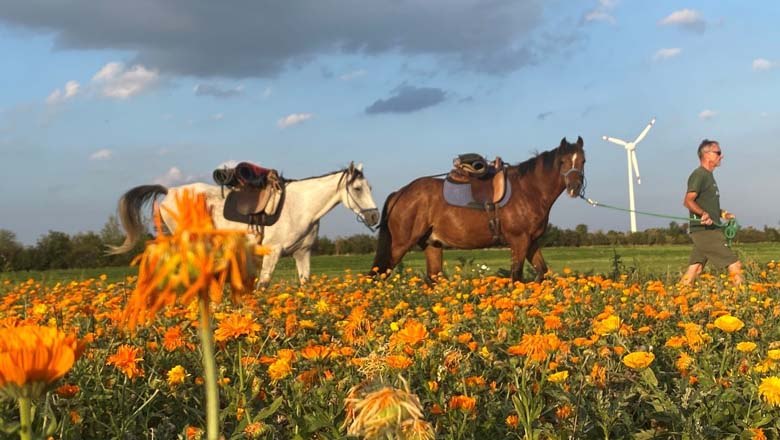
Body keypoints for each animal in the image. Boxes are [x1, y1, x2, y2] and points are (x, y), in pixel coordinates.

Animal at [108, 162, 380, 286]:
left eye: (369, 187)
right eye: (358, 188)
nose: (374, 217)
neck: (301, 206)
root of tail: (169, 191)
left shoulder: (302, 253)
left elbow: (305, 285)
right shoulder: (272, 253)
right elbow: (263, 284)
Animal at [372, 137, 584, 282]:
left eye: (583, 161)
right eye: (562, 162)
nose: (574, 188)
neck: (528, 190)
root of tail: (400, 193)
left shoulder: (531, 242)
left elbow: (542, 272)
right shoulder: (519, 241)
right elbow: (516, 277)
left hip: (432, 245)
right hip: (399, 246)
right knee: (378, 276)